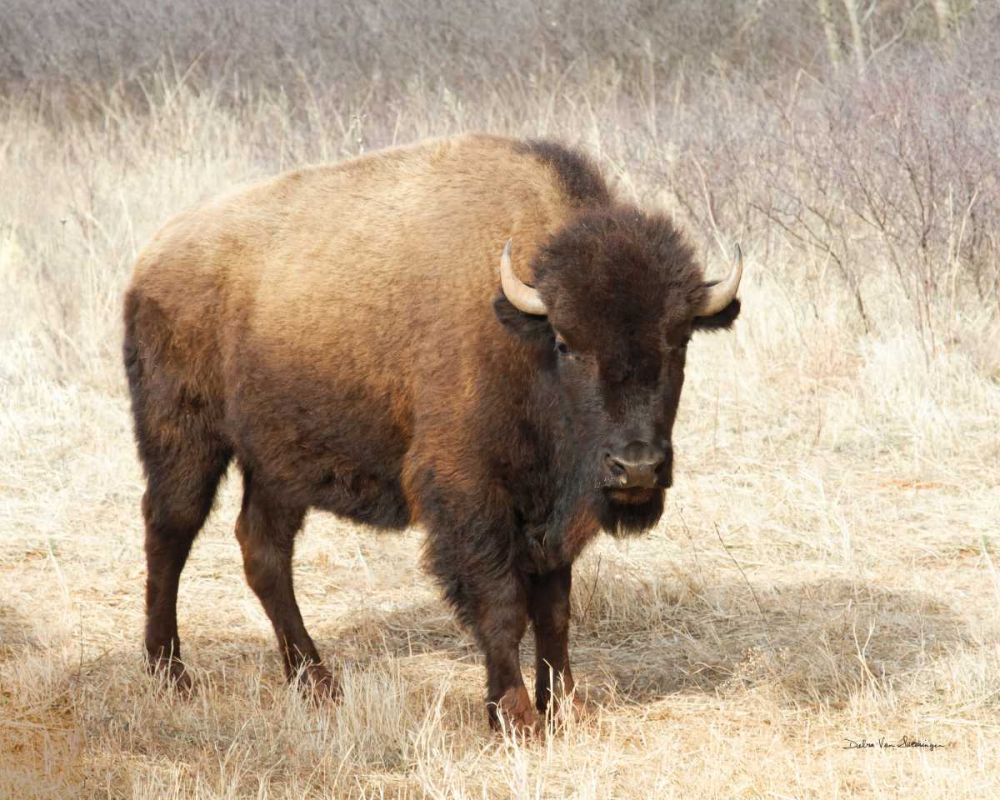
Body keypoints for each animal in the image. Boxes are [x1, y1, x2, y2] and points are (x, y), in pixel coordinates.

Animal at [124, 134, 742, 731]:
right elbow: (501, 603)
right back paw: (170, 674)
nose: (636, 467)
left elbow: (555, 609)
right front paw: (516, 717)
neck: (521, 333)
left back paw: (317, 684)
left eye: (680, 340)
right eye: (567, 342)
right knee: (169, 534)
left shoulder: (548, 511)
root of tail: (152, 258)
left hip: (278, 464)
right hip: (184, 439)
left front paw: (565, 708)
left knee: (264, 552)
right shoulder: (469, 492)